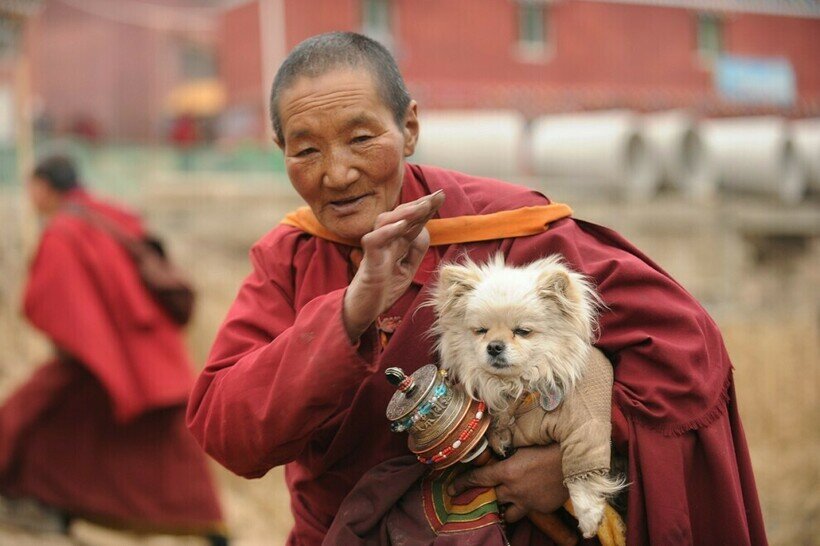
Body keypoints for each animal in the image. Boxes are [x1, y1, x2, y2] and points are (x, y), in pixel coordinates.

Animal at [430, 252, 620, 536]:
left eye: (522, 331)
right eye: (481, 331)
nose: (494, 346)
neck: (520, 386)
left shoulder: (585, 423)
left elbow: (582, 469)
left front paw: (588, 518)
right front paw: (499, 437)